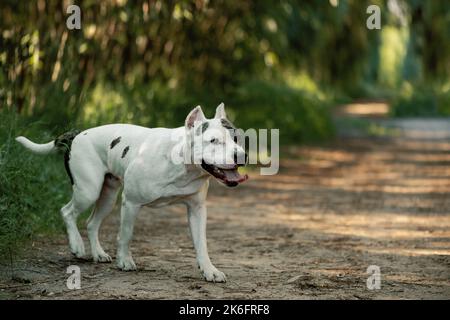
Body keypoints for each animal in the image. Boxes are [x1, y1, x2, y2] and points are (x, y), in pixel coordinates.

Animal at [16, 104, 250, 282]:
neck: (180, 163)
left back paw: (98, 253)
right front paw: (125, 261)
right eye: (213, 141)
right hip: (88, 191)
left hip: (108, 197)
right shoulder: (131, 202)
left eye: (236, 138)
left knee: (91, 223)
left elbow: (201, 244)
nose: (241, 155)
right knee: (67, 211)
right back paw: (76, 245)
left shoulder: (197, 210)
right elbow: (126, 234)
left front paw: (210, 270)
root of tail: (78, 135)